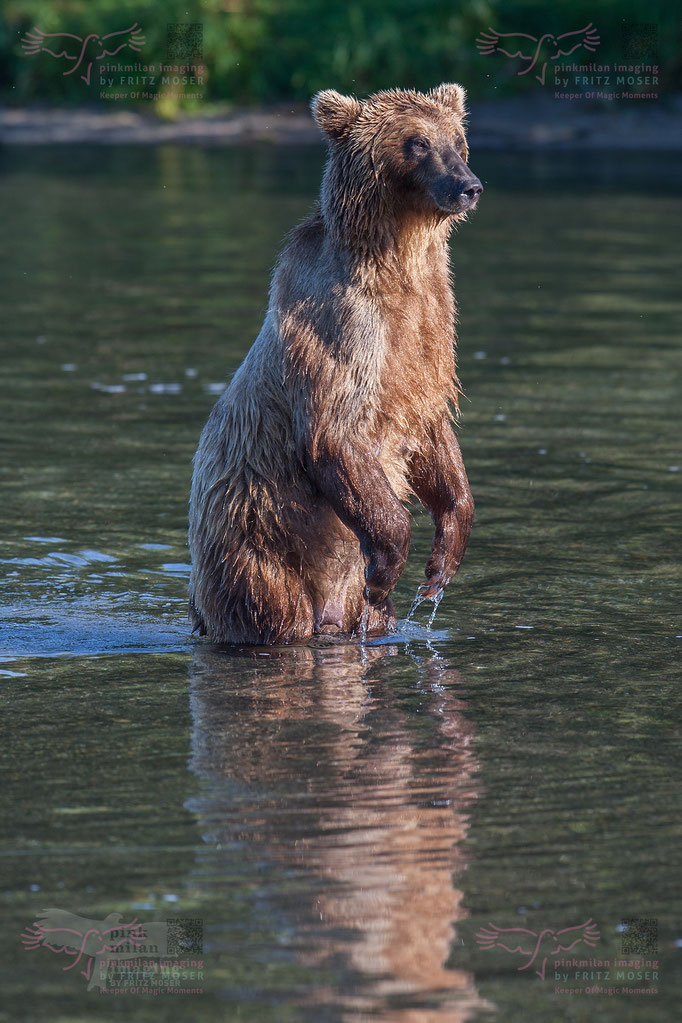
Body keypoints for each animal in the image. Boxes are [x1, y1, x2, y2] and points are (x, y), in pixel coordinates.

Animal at [188, 83, 482, 645]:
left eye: (457, 140)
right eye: (417, 141)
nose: (468, 186)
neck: (397, 263)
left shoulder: (431, 337)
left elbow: (431, 434)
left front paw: (441, 564)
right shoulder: (345, 326)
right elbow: (335, 428)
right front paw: (389, 562)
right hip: (258, 545)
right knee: (271, 608)